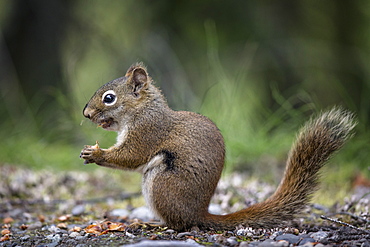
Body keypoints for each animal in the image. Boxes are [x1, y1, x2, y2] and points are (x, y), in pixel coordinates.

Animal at [80, 62, 356, 232]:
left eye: (109, 98)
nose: (86, 114)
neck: (142, 110)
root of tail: (200, 213)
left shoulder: (147, 131)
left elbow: (131, 156)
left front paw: (95, 153)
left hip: (161, 184)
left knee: (180, 224)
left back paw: (153, 225)